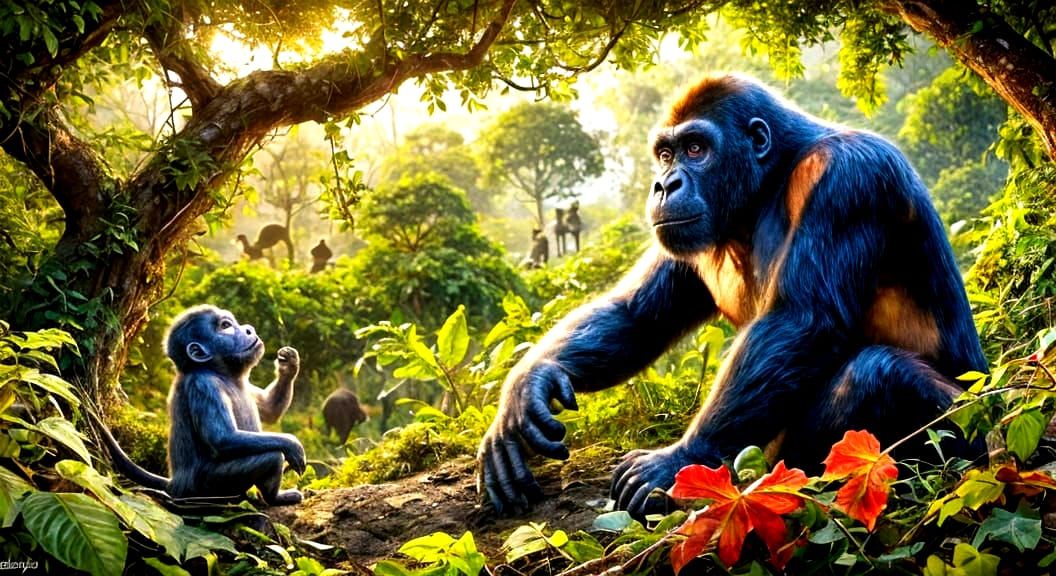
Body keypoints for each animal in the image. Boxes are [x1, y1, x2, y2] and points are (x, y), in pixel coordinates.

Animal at [99, 305, 306, 505]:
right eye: (226, 326)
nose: (249, 329)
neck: (222, 373)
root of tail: (175, 484)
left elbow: (270, 410)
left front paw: (289, 364)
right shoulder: (204, 385)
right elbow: (222, 438)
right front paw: (292, 444)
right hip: (206, 486)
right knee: (272, 457)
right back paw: (274, 498)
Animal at [477, 74, 986, 518]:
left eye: (696, 148)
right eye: (665, 154)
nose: (665, 183)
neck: (768, 183)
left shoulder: (848, 177)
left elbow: (800, 318)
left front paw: (681, 459)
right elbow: (636, 316)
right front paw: (525, 389)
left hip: (971, 437)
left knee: (878, 374)